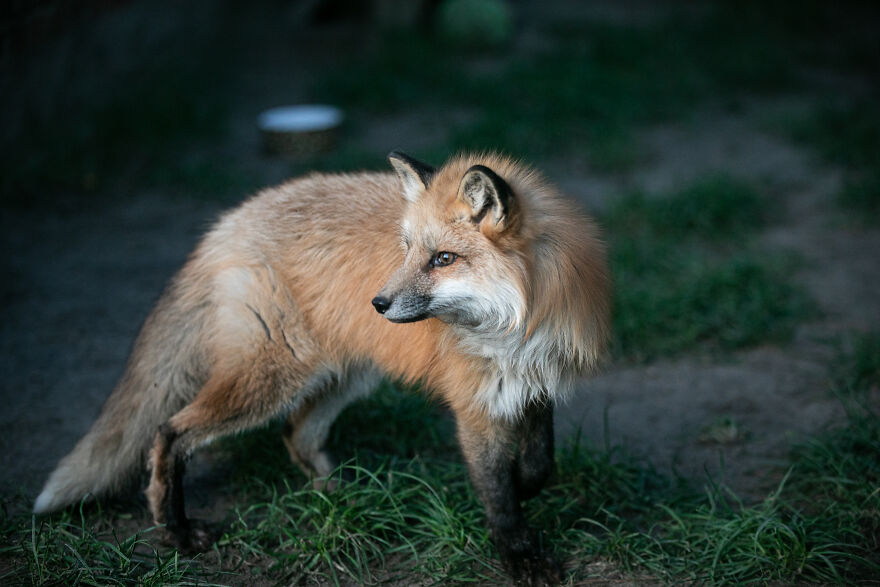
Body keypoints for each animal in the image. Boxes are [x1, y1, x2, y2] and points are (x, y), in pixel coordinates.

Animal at [33, 151, 610, 585]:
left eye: (443, 259)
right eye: (406, 250)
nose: (378, 303)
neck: (517, 327)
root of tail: (231, 220)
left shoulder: (534, 386)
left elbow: (539, 462)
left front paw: (528, 488)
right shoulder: (474, 404)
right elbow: (498, 494)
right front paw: (519, 556)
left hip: (343, 375)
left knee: (296, 433)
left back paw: (345, 496)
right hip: (273, 377)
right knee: (168, 432)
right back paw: (175, 530)